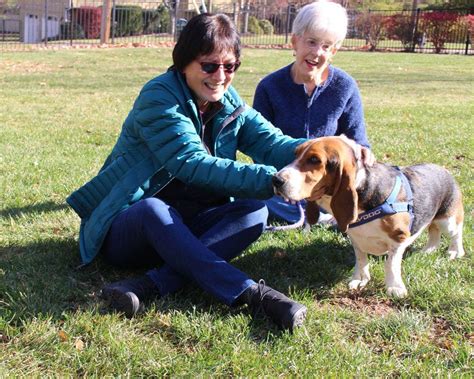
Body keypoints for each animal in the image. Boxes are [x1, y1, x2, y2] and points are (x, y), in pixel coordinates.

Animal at [272, 135, 464, 298]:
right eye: (296, 154)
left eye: (314, 160)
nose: (276, 179)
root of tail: (444, 170)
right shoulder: (356, 238)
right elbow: (361, 259)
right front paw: (360, 279)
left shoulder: (398, 238)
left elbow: (390, 265)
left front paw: (395, 287)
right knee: (433, 231)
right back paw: (429, 249)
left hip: (448, 221)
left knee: (456, 233)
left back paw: (455, 251)